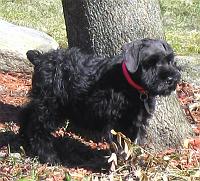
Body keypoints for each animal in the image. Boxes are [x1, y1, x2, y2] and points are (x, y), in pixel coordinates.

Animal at [19, 39, 181, 166]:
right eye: (151, 62)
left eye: (169, 60)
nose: (171, 79)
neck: (129, 84)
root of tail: (40, 59)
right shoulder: (116, 124)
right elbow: (120, 146)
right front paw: (120, 165)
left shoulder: (137, 122)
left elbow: (134, 144)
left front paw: (137, 163)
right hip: (50, 106)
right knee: (38, 129)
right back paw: (49, 156)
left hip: (43, 103)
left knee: (27, 114)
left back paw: (25, 142)